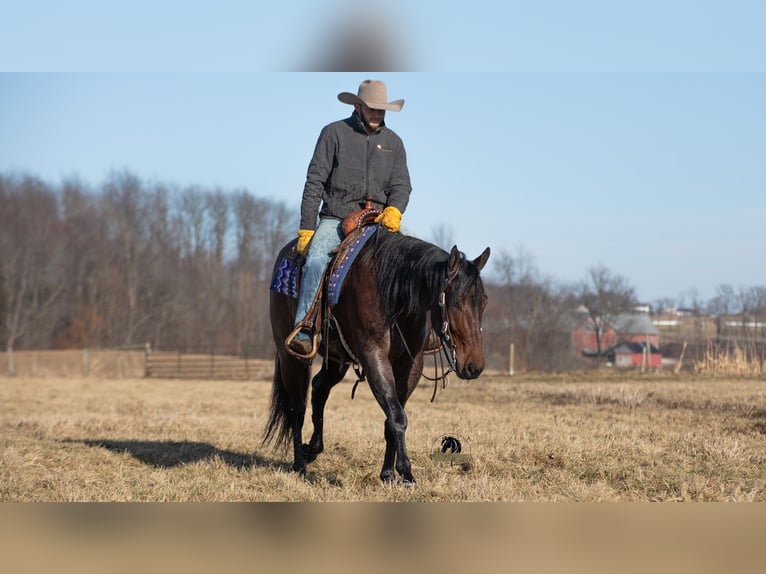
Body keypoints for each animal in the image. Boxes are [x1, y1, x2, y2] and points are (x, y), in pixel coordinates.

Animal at [264, 226, 490, 484]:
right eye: (457, 301)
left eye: (483, 301)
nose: (474, 366)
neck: (394, 296)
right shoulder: (374, 357)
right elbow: (397, 415)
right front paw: (406, 473)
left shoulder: (411, 365)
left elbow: (392, 418)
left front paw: (389, 473)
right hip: (291, 357)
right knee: (297, 407)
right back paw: (300, 465)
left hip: (337, 360)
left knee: (319, 389)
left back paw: (312, 449)